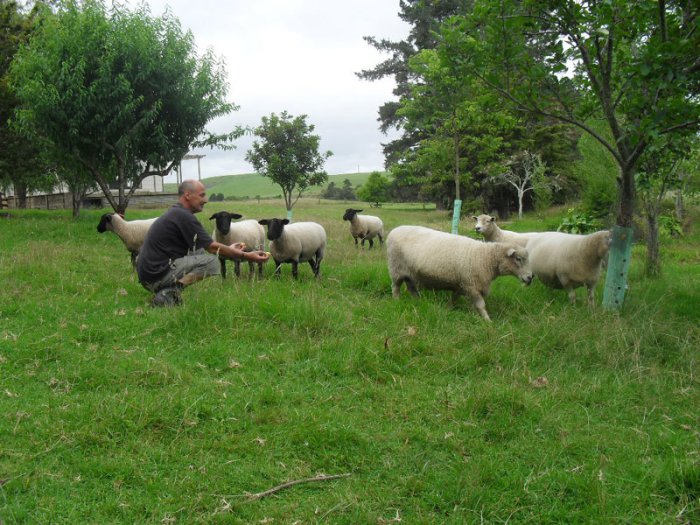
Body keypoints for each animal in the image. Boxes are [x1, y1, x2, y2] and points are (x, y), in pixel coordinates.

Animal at [386, 224, 532, 322]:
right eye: (518, 259)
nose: (530, 277)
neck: (485, 257)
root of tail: (394, 230)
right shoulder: (471, 285)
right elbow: (480, 305)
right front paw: (487, 321)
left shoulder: (462, 285)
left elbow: (455, 298)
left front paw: (448, 308)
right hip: (396, 268)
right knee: (395, 287)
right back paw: (396, 300)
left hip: (409, 272)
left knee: (411, 287)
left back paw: (418, 301)